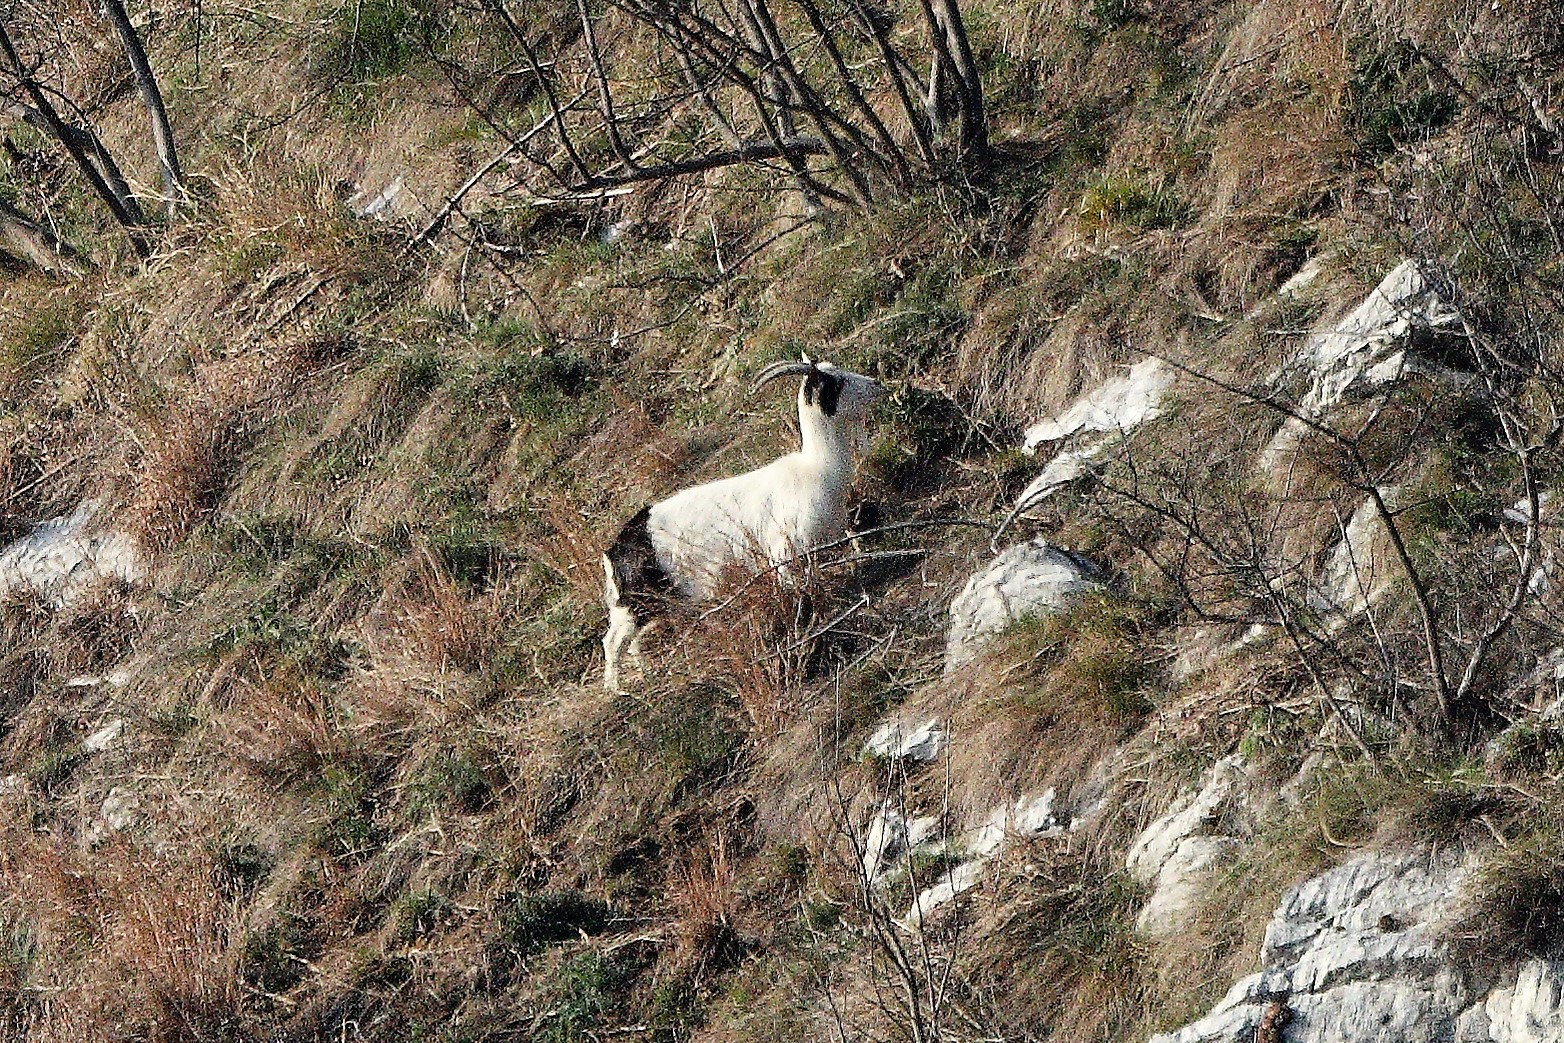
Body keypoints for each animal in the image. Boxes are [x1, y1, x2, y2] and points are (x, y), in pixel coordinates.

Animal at [601, 357, 886, 691]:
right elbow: (796, 590)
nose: (877, 385)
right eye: (835, 383)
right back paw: (617, 689)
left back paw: (645, 675)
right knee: (613, 642)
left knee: (632, 643)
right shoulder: (783, 555)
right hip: (634, 606)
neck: (815, 469)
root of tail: (615, 551)